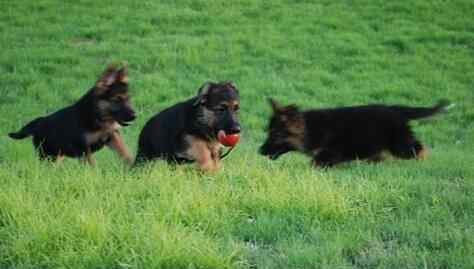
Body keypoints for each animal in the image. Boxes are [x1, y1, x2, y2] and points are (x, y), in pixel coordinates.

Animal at [260, 97, 452, 166]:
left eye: (274, 135)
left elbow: (315, 163)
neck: (309, 128)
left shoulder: (329, 153)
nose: (259, 151)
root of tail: (395, 109)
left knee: (419, 149)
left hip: (399, 144)